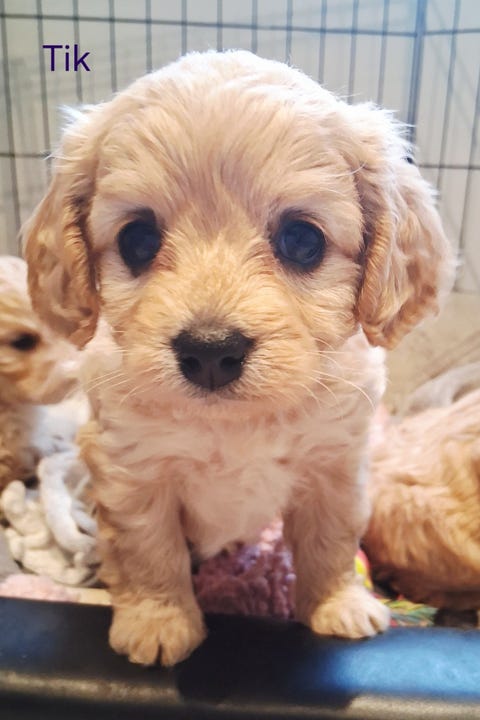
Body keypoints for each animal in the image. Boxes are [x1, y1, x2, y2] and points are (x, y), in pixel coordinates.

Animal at [23, 50, 454, 665]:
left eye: (302, 240)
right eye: (137, 240)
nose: (210, 351)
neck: (234, 422)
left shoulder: (336, 466)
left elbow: (330, 540)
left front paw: (337, 605)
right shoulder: (133, 473)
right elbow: (149, 549)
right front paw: (158, 620)